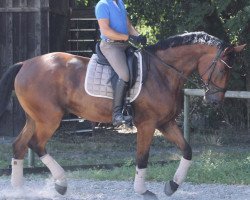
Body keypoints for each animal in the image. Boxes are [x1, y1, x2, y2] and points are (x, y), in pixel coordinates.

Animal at [0, 31, 245, 198]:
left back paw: (19, 190)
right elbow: (142, 157)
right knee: (36, 144)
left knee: (19, 145)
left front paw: (172, 186)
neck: (163, 72)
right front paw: (143, 190)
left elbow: (187, 150)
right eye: (222, 69)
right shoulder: (147, 124)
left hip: (35, 118)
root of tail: (26, 63)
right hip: (49, 119)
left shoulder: (166, 123)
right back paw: (61, 184)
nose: (214, 101)